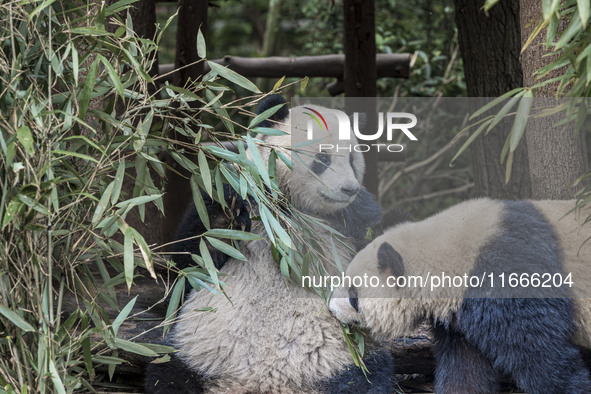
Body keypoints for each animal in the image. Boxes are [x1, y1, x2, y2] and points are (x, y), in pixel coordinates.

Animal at [145, 96, 400, 394]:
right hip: (193, 354)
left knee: (367, 378)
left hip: (345, 359)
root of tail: (265, 382)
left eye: (351, 158)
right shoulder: (241, 188)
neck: (290, 208)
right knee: (166, 374)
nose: (349, 189)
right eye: (322, 159)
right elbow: (195, 255)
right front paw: (231, 215)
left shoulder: (349, 221)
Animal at [328, 200, 591, 394]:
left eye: (353, 295)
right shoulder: (458, 320)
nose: (331, 309)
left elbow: (539, 353)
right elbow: (465, 369)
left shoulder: (507, 274)